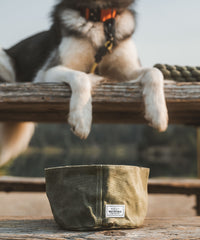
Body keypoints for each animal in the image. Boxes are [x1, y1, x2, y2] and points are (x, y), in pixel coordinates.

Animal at [0, 0, 169, 166]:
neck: (98, 17)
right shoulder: (46, 72)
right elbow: (81, 76)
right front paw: (82, 119)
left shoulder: (127, 70)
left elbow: (155, 72)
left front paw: (158, 113)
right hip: (4, 57)